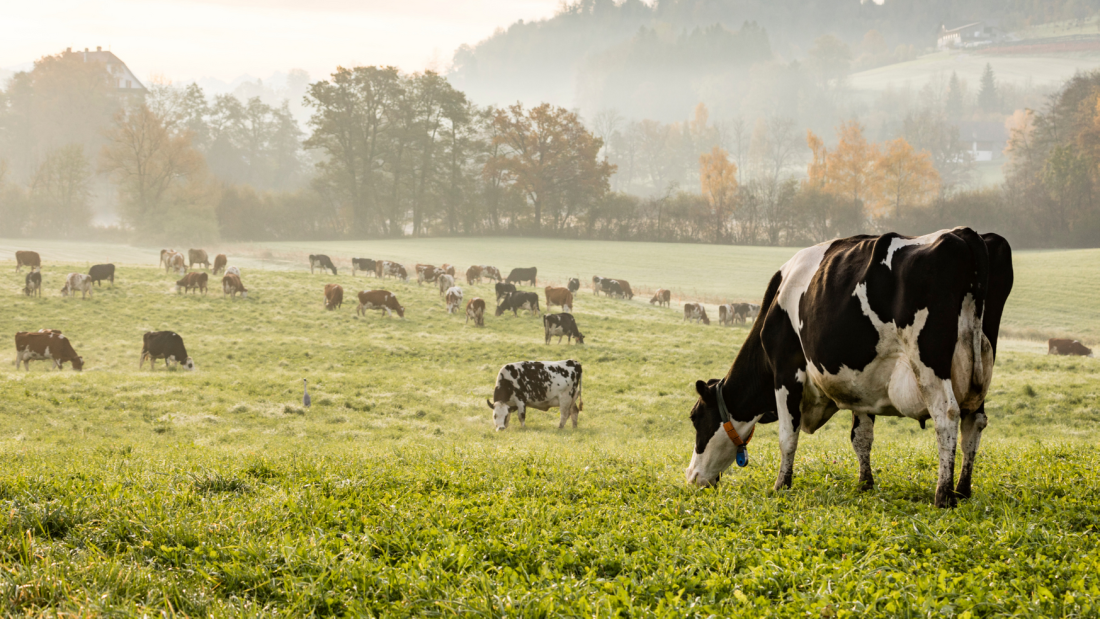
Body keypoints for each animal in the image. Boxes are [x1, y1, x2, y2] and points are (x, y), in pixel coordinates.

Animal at [686, 228, 1012, 507]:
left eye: (695, 418)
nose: (691, 477)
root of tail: (964, 233)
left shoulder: (786, 370)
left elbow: (787, 436)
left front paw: (781, 485)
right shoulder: (863, 384)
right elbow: (861, 437)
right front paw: (864, 484)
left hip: (929, 362)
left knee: (947, 415)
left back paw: (943, 495)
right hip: (980, 366)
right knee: (974, 421)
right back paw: (963, 489)